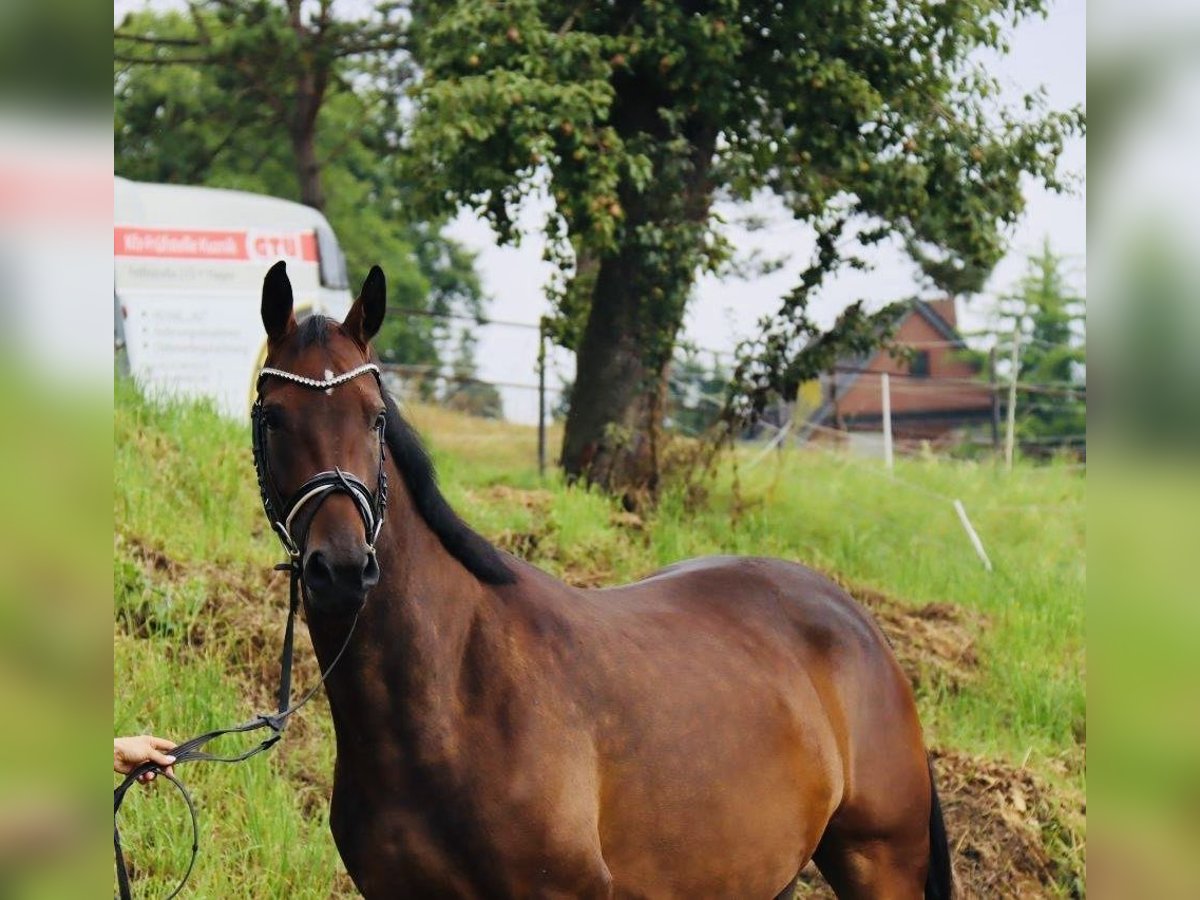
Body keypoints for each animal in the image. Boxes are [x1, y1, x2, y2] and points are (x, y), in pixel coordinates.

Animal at [258, 262, 950, 900]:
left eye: (376, 418)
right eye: (273, 418)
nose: (342, 569)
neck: (450, 695)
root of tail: (857, 621)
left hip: (879, 862)